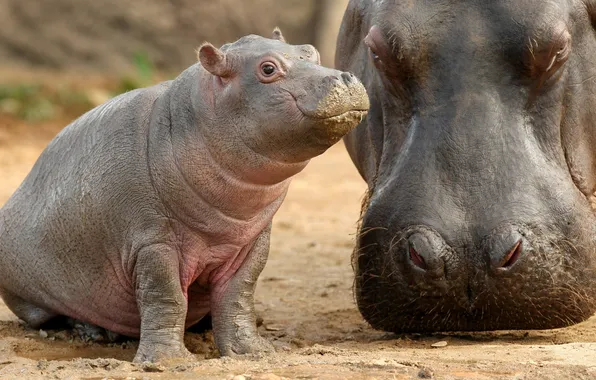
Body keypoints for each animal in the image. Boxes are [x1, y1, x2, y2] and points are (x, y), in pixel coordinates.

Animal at [0, 29, 368, 362]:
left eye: (311, 51)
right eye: (267, 68)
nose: (345, 76)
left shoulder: (251, 242)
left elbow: (238, 295)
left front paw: (253, 352)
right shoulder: (152, 242)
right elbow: (166, 297)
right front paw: (167, 360)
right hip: (31, 292)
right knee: (51, 315)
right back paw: (94, 332)